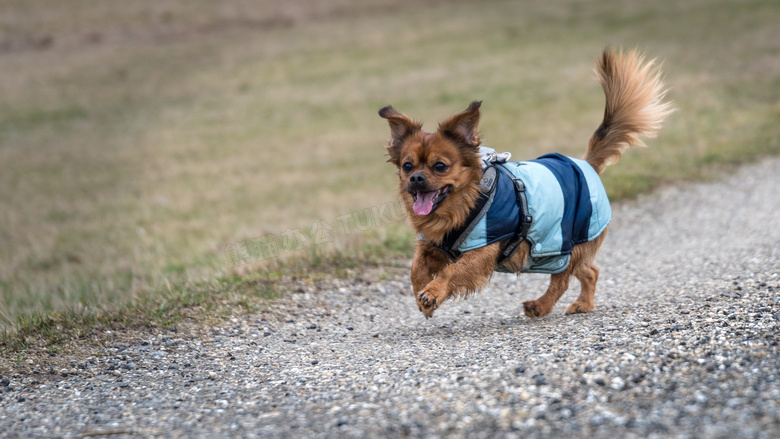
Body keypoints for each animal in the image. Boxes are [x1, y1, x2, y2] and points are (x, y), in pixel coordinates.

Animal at [378, 48, 672, 318]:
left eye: (440, 166)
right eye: (407, 166)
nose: (416, 178)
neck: (462, 205)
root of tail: (586, 163)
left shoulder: (482, 251)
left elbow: (453, 271)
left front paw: (432, 292)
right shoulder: (431, 246)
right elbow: (415, 268)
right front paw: (422, 295)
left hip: (565, 246)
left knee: (564, 280)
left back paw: (541, 306)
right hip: (560, 252)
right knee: (590, 271)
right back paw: (583, 304)